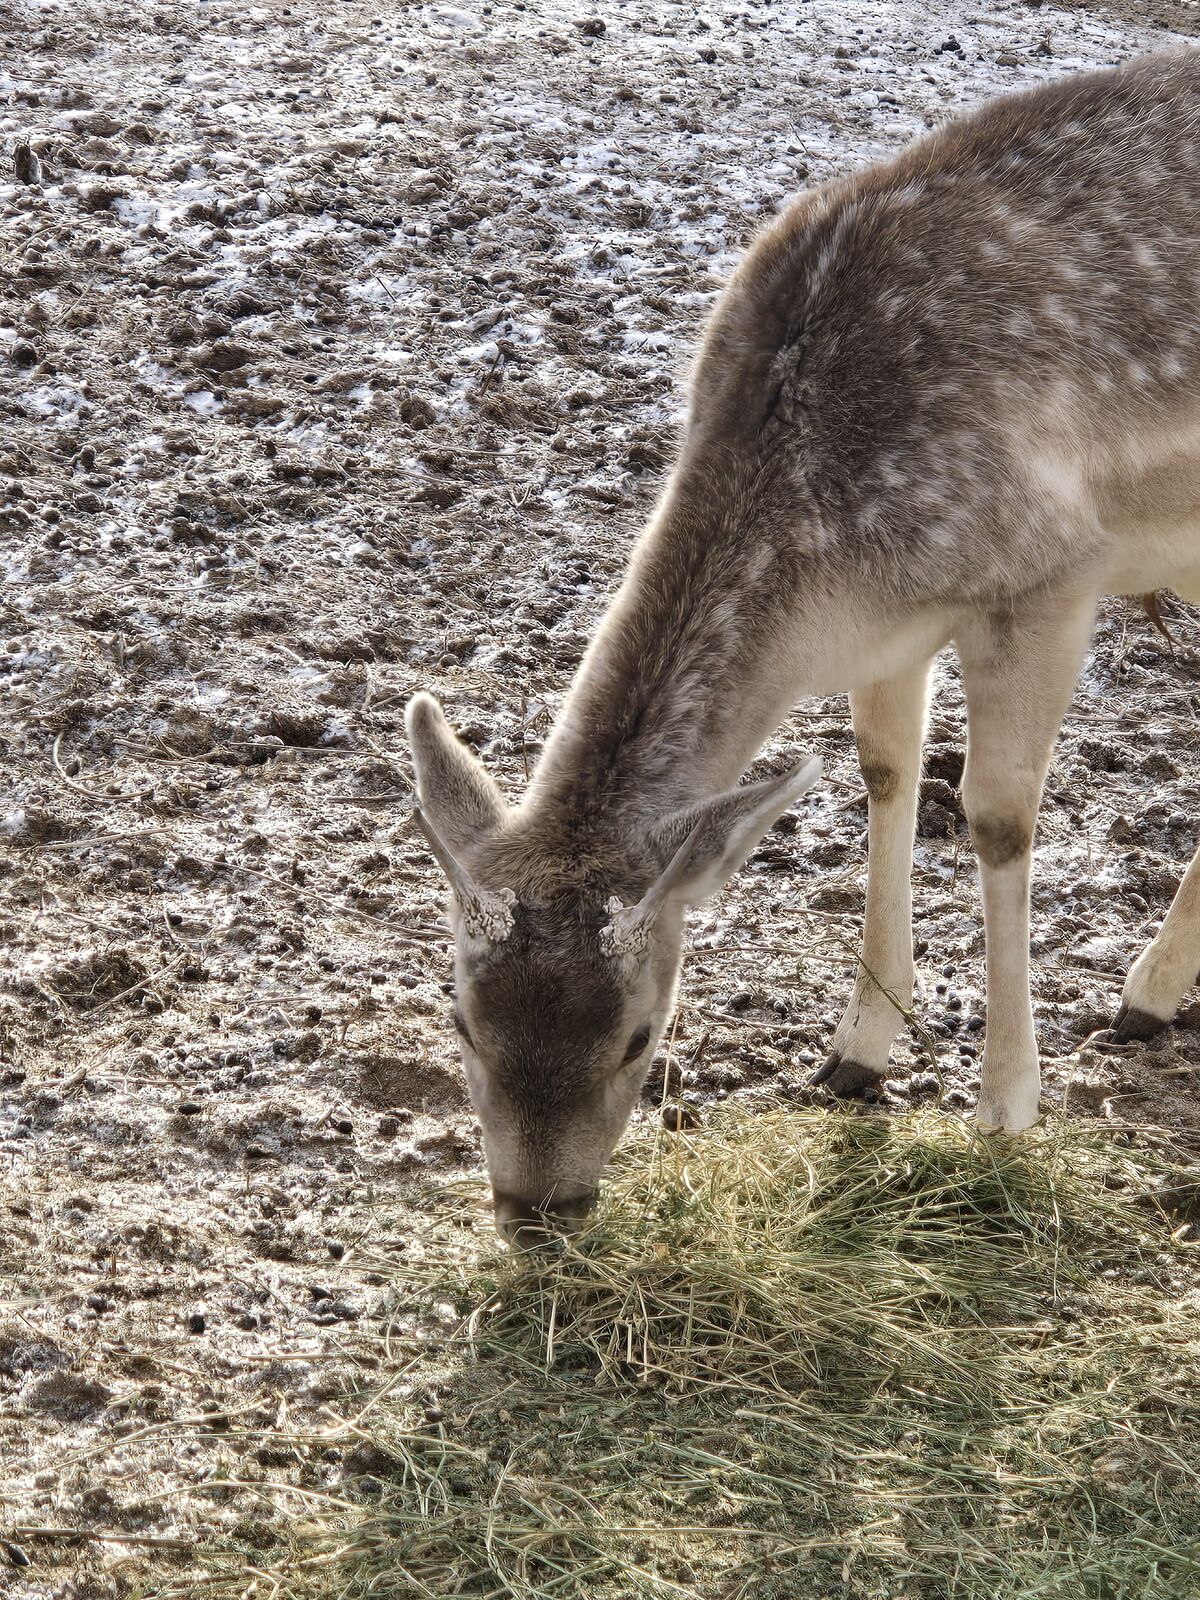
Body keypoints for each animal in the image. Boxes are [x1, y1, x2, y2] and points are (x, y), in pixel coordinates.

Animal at [407, 51, 1200, 1243]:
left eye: (639, 1035)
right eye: (462, 1021)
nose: (536, 1209)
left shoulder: (1047, 576)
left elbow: (997, 820)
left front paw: (1006, 1110)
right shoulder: (890, 630)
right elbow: (885, 776)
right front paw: (856, 1055)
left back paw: (1143, 996)